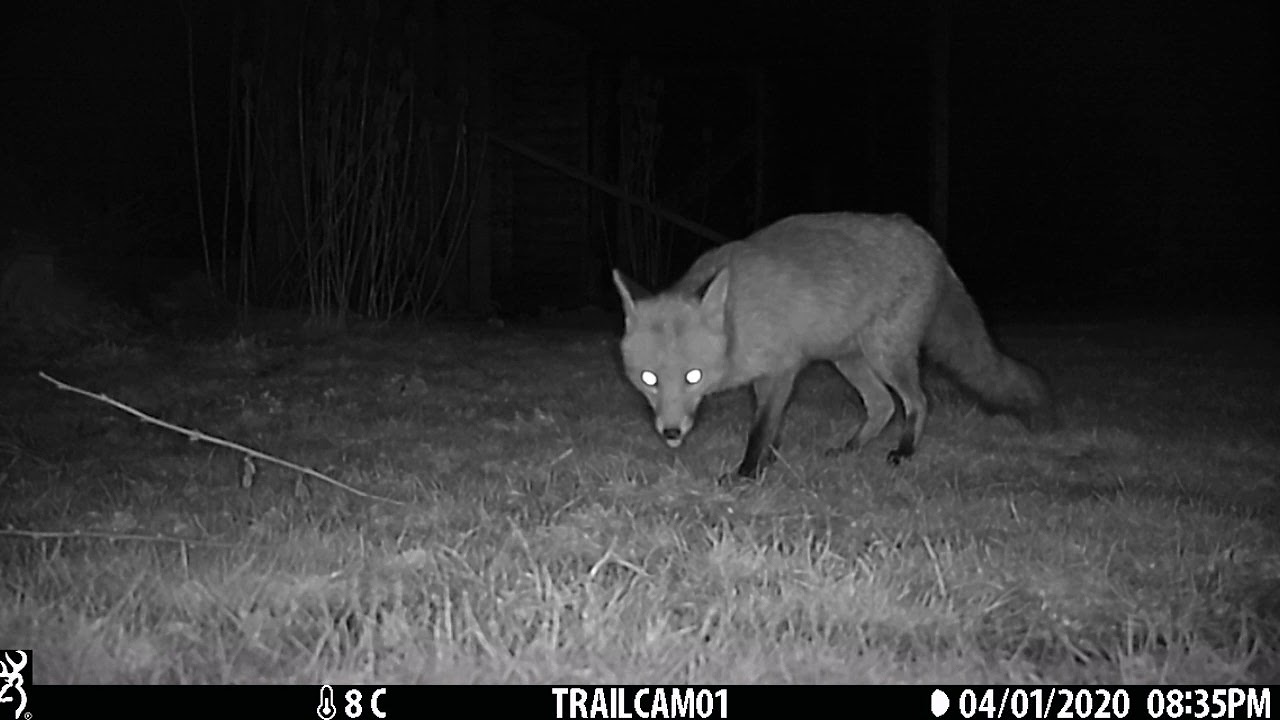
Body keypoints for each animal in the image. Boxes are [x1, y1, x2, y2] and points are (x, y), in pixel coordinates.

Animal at [611, 212, 1058, 480]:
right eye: (648, 379)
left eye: (693, 376)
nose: (671, 432)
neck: (737, 320)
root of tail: (923, 235)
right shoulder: (769, 375)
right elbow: (771, 429)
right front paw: (768, 463)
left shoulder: (781, 370)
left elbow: (760, 428)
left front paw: (746, 475)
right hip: (850, 359)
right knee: (882, 405)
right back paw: (850, 449)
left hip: (885, 354)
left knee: (918, 401)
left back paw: (904, 451)